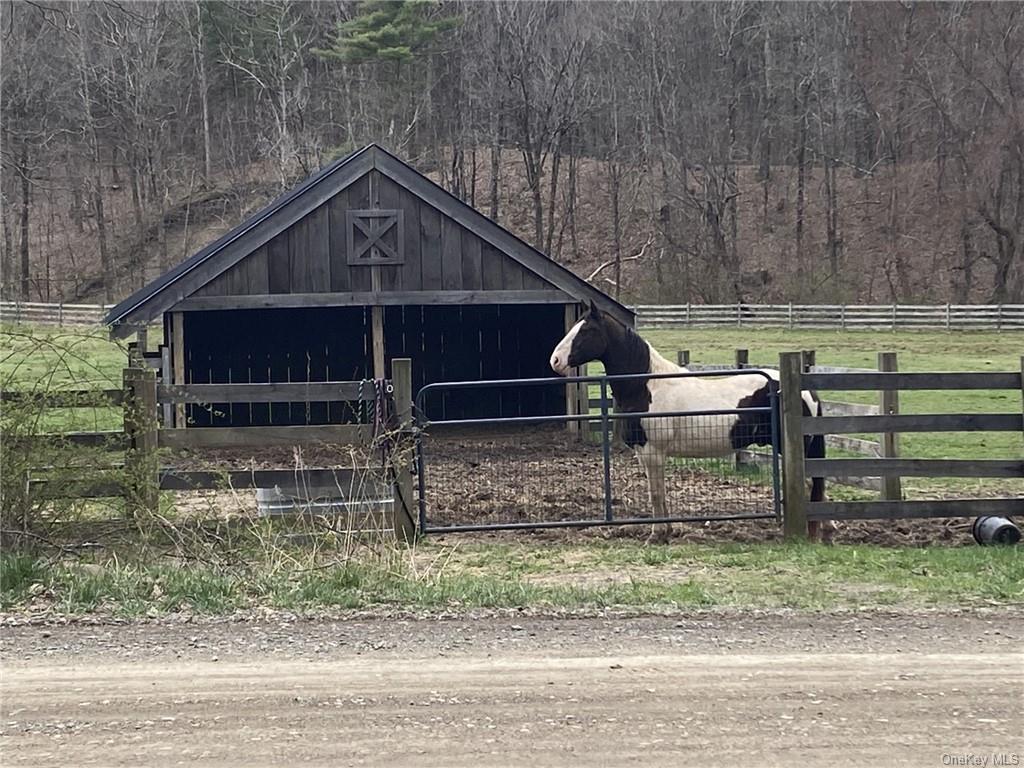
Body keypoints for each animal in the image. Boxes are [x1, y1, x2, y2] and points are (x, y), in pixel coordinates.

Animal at [548, 303, 827, 544]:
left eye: (586, 330)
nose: (555, 361)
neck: (648, 386)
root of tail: (806, 390)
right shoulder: (643, 453)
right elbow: (658, 493)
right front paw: (666, 531)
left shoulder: (653, 452)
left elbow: (656, 494)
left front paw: (657, 535)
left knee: (809, 485)